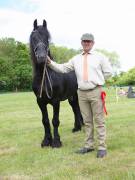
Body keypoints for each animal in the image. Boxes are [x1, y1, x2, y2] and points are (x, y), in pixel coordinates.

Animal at [29, 19, 83, 148]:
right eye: (33, 38)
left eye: (47, 38)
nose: (42, 57)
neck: (44, 77)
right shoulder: (40, 102)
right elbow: (45, 121)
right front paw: (46, 141)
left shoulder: (55, 101)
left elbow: (55, 120)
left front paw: (56, 141)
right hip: (72, 96)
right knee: (75, 108)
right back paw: (77, 128)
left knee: (78, 109)